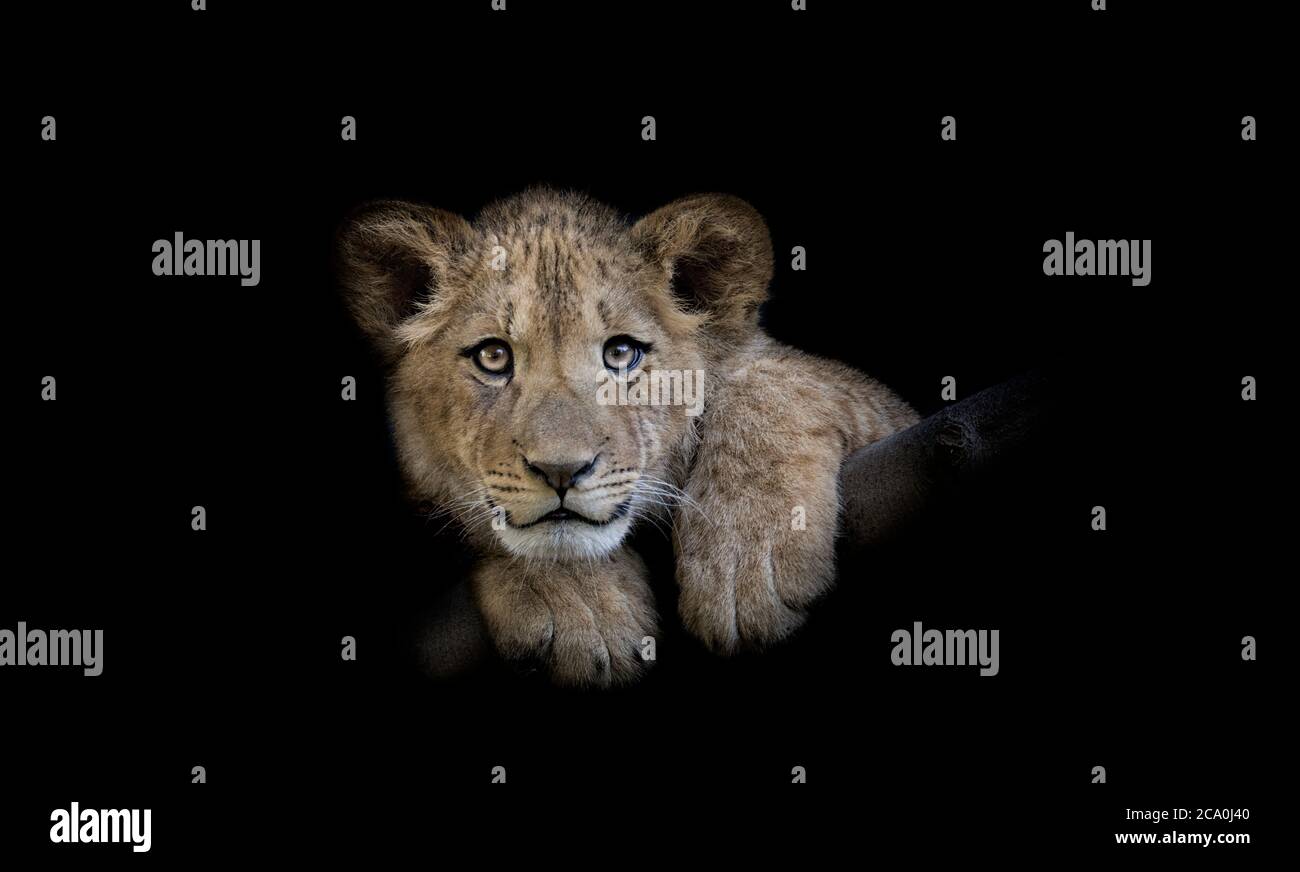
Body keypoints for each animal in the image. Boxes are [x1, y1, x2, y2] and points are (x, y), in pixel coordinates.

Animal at [336, 188, 918, 687]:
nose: (561, 472)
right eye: (493, 356)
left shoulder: (895, 420)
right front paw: (582, 605)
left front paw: (749, 556)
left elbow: (776, 376)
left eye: (621, 353)